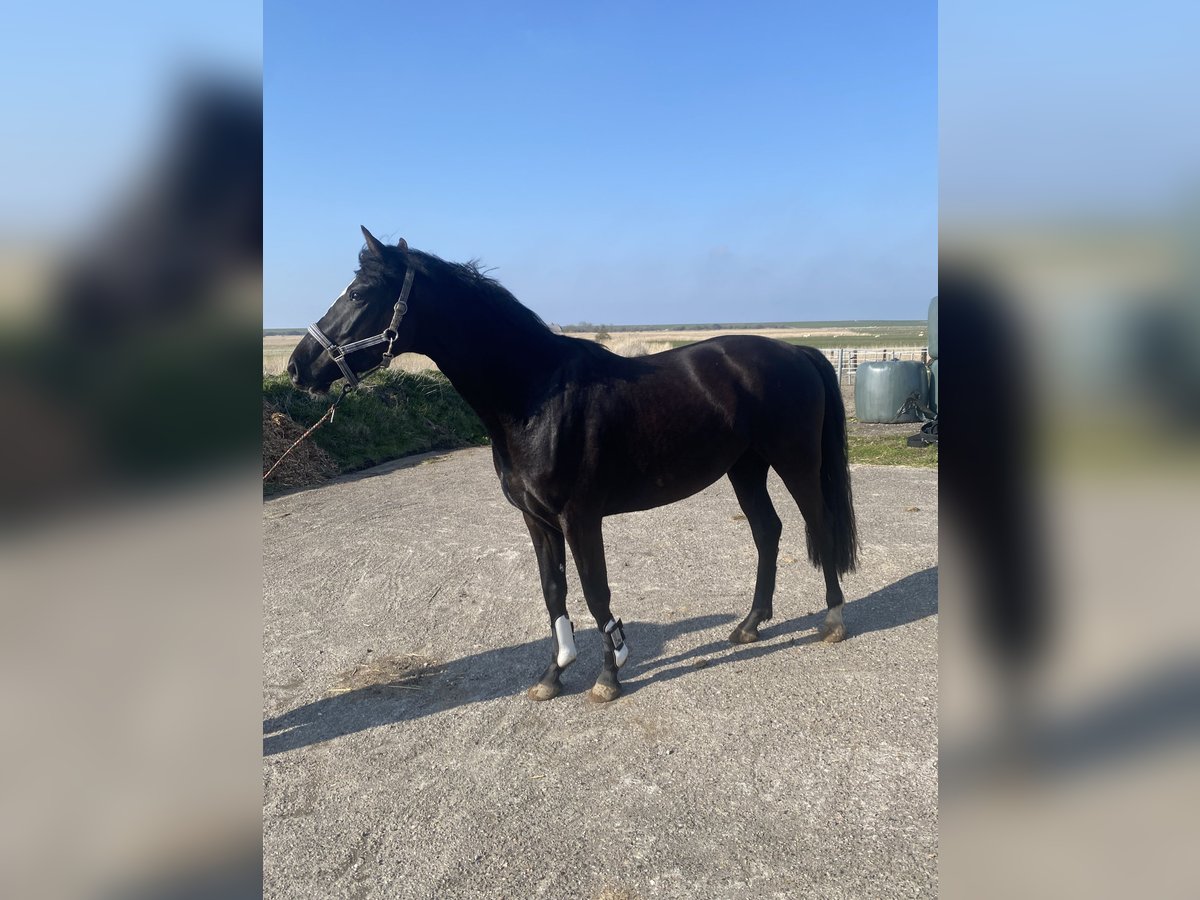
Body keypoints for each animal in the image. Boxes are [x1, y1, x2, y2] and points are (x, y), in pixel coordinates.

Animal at [287, 227, 859, 703]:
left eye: (359, 294)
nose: (297, 367)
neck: (536, 394)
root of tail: (798, 352)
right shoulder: (537, 520)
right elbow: (554, 591)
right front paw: (554, 674)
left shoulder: (580, 518)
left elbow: (595, 590)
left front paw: (608, 675)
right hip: (745, 468)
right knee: (767, 531)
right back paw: (750, 625)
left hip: (795, 463)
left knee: (819, 522)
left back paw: (832, 619)